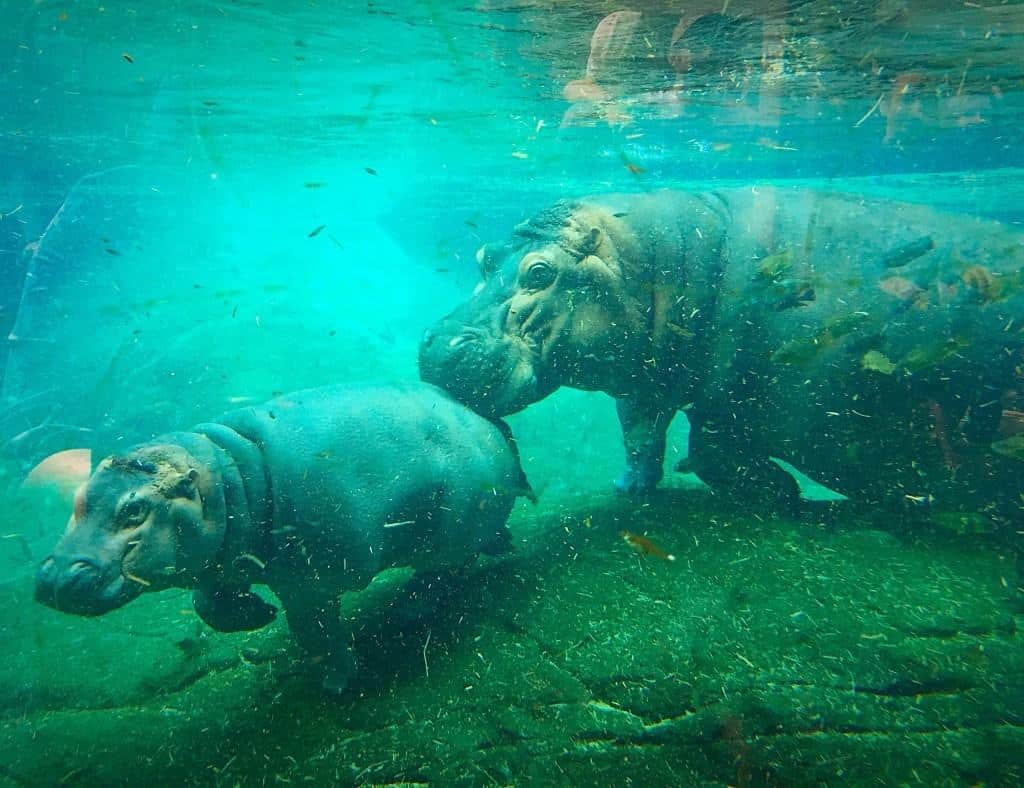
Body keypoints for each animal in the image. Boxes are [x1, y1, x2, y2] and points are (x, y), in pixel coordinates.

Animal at [36, 384, 532, 691]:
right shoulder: (222, 563)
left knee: (443, 573)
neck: (227, 479)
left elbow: (315, 632)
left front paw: (336, 681)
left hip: (453, 528)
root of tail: (494, 428)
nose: (54, 576)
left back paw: (408, 612)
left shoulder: (309, 583)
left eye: (134, 509)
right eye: (77, 498)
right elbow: (207, 603)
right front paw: (258, 613)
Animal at [419, 187, 1024, 511]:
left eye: (539, 272)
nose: (435, 343)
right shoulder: (643, 377)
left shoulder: (732, 395)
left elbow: (707, 450)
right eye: (483, 256)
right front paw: (629, 487)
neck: (659, 258)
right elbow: (640, 435)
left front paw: (784, 494)